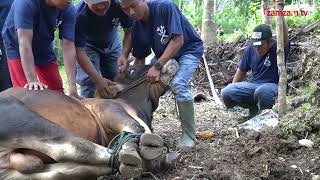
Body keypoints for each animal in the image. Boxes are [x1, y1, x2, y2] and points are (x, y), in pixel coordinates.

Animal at [0, 60, 179, 180]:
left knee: (58, 170)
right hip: (28, 121)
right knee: (72, 149)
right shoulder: (109, 110)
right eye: (132, 70)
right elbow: (135, 128)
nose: (160, 63)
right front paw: (137, 149)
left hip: (14, 172)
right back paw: (138, 158)